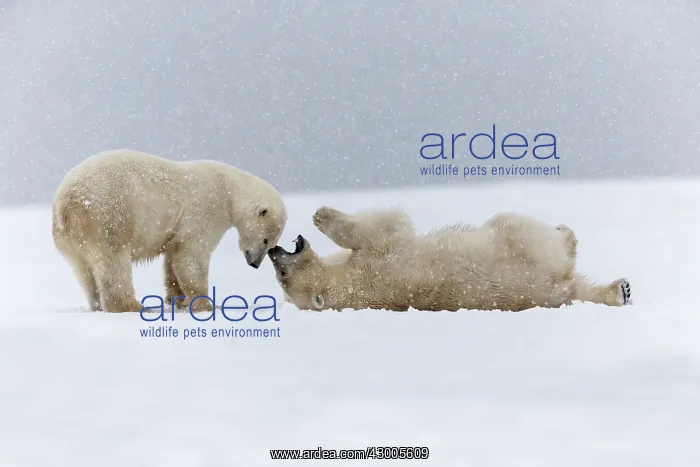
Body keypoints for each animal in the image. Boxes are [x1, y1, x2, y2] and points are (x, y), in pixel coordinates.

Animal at [52, 148, 288, 313]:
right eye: (267, 241)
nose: (255, 264)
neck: (230, 190)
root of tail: (66, 202)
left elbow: (173, 259)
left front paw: (179, 300)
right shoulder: (207, 208)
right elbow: (192, 256)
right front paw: (207, 304)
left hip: (69, 238)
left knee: (84, 270)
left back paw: (98, 304)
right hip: (108, 215)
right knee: (114, 261)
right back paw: (135, 306)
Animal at [267, 206, 632, 312]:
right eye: (283, 277)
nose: (272, 252)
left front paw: (319, 216)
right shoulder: (377, 258)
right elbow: (385, 226)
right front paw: (324, 216)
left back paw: (620, 290)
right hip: (521, 246)